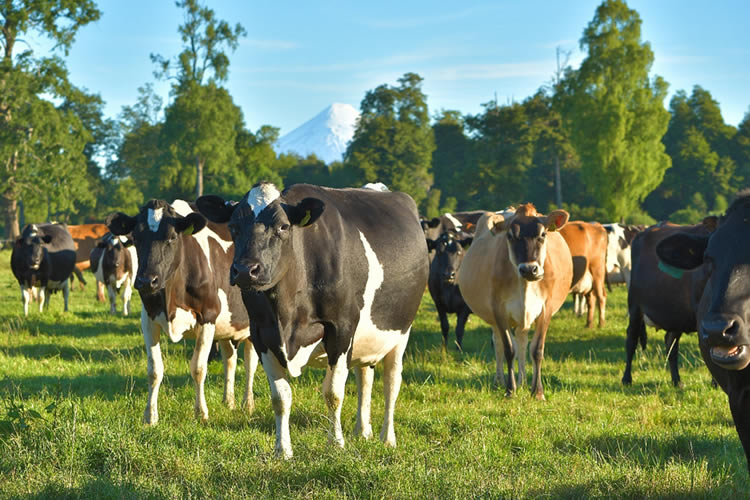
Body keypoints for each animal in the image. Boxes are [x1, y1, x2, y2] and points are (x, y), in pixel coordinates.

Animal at [106, 197, 258, 424]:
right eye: (137, 238)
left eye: (171, 237)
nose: (146, 281)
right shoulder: (148, 319)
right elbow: (154, 370)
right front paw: (150, 416)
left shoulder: (208, 316)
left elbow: (198, 368)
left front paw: (201, 413)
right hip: (228, 325)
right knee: (229, 359)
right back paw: (228, 401)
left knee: (250, 362)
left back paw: (247, 404)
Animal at [195, 182, 428, 458]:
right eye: (233, 227)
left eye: (283, 226)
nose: (245, 270)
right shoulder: (262, 334)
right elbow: (280, 397)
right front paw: (282, 450)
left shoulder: (341, 329)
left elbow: (333, 393)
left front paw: (336, 443)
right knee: (364, 378)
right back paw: (362, 431)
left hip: (401, 332)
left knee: (391, 383)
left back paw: (387, 438)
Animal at [458, 203, 576, 398]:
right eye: (510, 236)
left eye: (543, 234)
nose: (529, 269)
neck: (525, 285)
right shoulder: (498, 310)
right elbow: (508, 349)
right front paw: (510, 390)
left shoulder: (546, 309)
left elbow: (536, 350)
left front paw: (537, 392)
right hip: (494, 318)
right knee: (499, 343)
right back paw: (500, 381)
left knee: (522, 341)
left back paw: (523, 381)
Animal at [620, 218, 720, 386]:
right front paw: (716, 383)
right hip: (635, 305)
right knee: (631, 339)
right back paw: (626, 378)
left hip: (676, 313)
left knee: (670, 342)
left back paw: (677, 380)